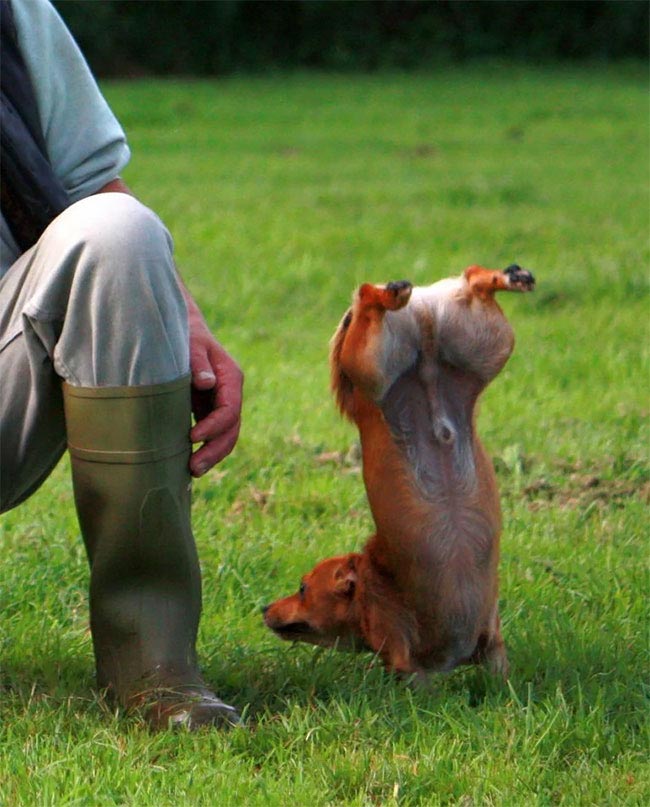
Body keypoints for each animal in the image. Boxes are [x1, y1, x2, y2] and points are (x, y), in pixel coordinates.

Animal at [264, 266, 532, 680]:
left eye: (303, 588)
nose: (263, 608)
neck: (370, 580)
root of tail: (422, 308)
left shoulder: (405, 659)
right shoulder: (492, 645)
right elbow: (498, 669)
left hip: (368, 363)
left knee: (367, 300)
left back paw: (387, 294)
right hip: (487, 341)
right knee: (475, 283)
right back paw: (506, 277)